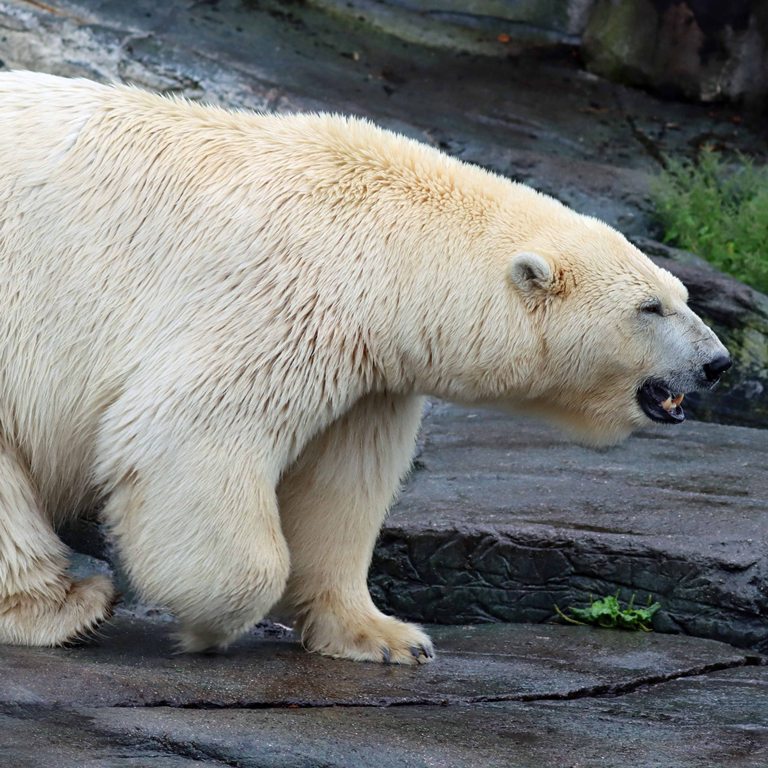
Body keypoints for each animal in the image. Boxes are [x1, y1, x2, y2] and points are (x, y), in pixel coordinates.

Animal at [0, 71, 730, 663]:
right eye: (650, 307)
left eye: (683, 295)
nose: (718, 363)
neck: (379, 243)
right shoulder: (275, 301)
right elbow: (185, 434)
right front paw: (209, 626)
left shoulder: (371, 369)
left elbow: (341, 485)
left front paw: (385, 636)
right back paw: (67, 608)